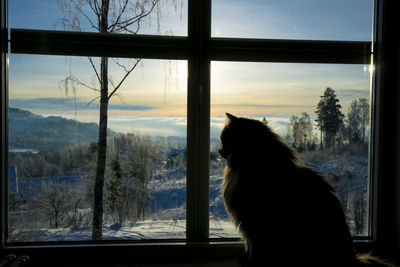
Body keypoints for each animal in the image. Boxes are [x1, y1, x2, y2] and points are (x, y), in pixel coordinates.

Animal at [219, 113, 394, 267]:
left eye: (224, 139)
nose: (219, 150)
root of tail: (353, 259)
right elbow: (249, 246)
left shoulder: (253, 222)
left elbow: (254, 248)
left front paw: (250, 263)